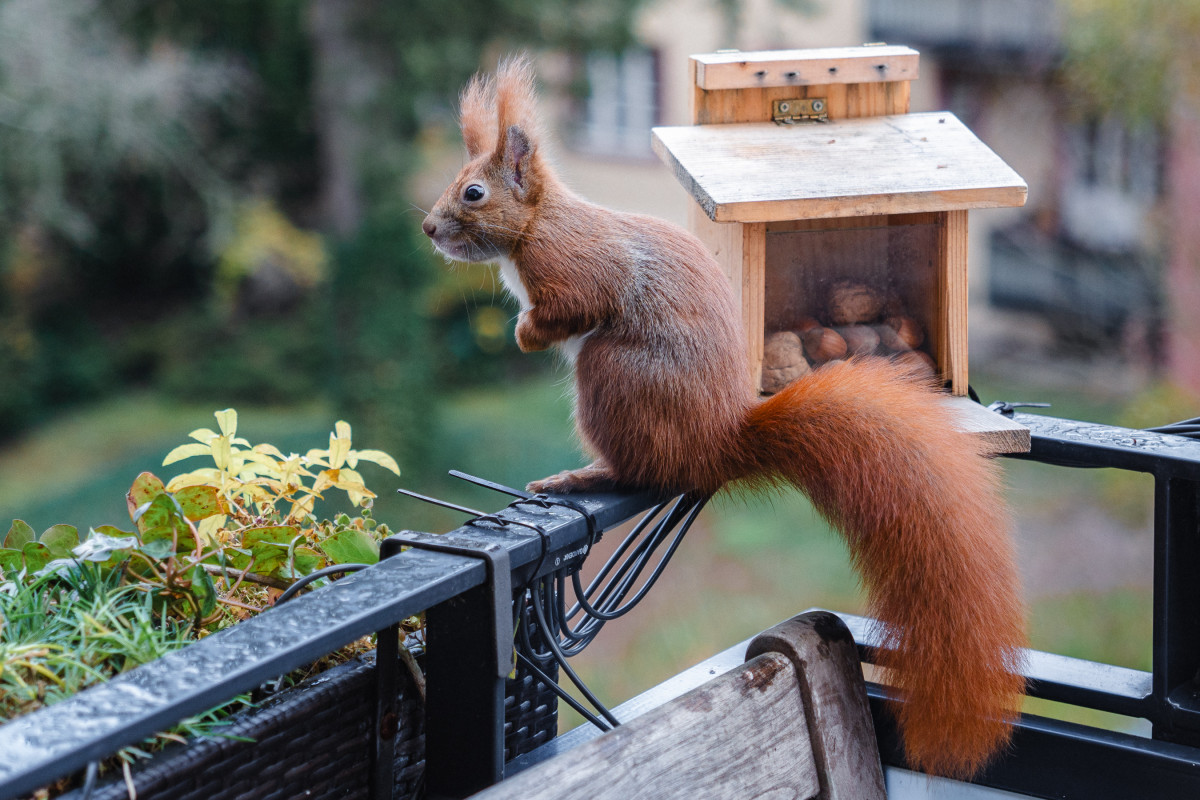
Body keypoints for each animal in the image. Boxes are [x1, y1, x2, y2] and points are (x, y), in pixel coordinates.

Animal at [420, 54, 1022, 777]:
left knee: (643, 469)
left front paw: (525, 334)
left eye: (474, 193)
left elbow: (573, 306)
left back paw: (583, 475)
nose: (428, 228)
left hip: (611, 375)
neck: (536, 226)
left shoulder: (573, 266)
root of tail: (716, 446)